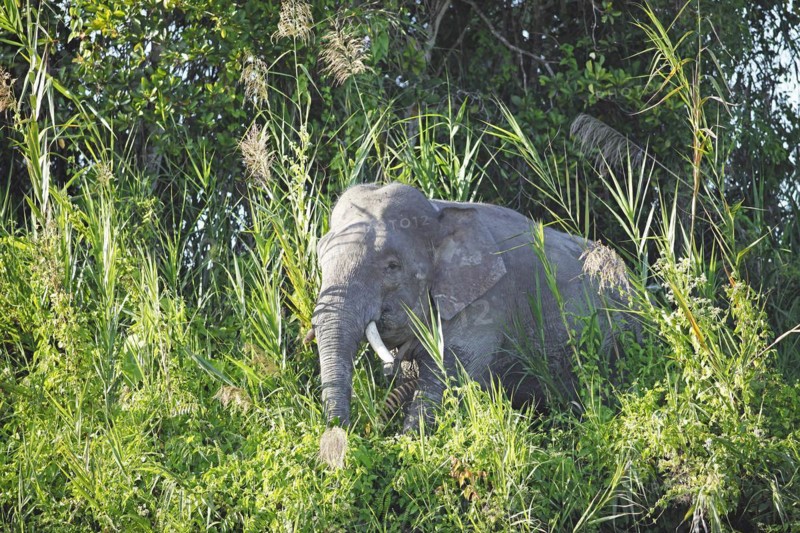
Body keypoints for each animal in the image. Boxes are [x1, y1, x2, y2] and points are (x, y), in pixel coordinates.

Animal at [312, 182, 635, 437]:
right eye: (320, 256)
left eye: (392, 266)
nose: (346, 436)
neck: (438, 211)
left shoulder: (488, 303)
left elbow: (445, 381)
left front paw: (408, 444)